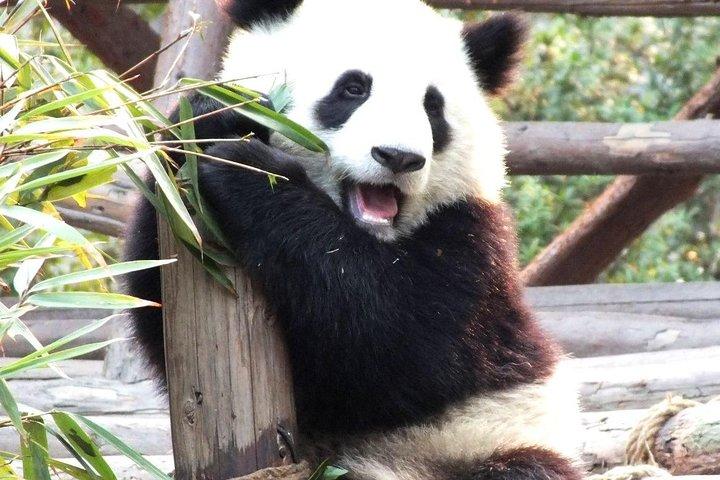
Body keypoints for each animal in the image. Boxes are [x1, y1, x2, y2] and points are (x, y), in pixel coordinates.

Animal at [123, 0, 584, 479]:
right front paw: (214, 117)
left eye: (433, 107)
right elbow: (155, 299)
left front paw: (249, 174)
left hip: (496, 438)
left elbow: (397, 337)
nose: (398, 157)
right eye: (353, 89)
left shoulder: (473, 245)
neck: (370, 236)